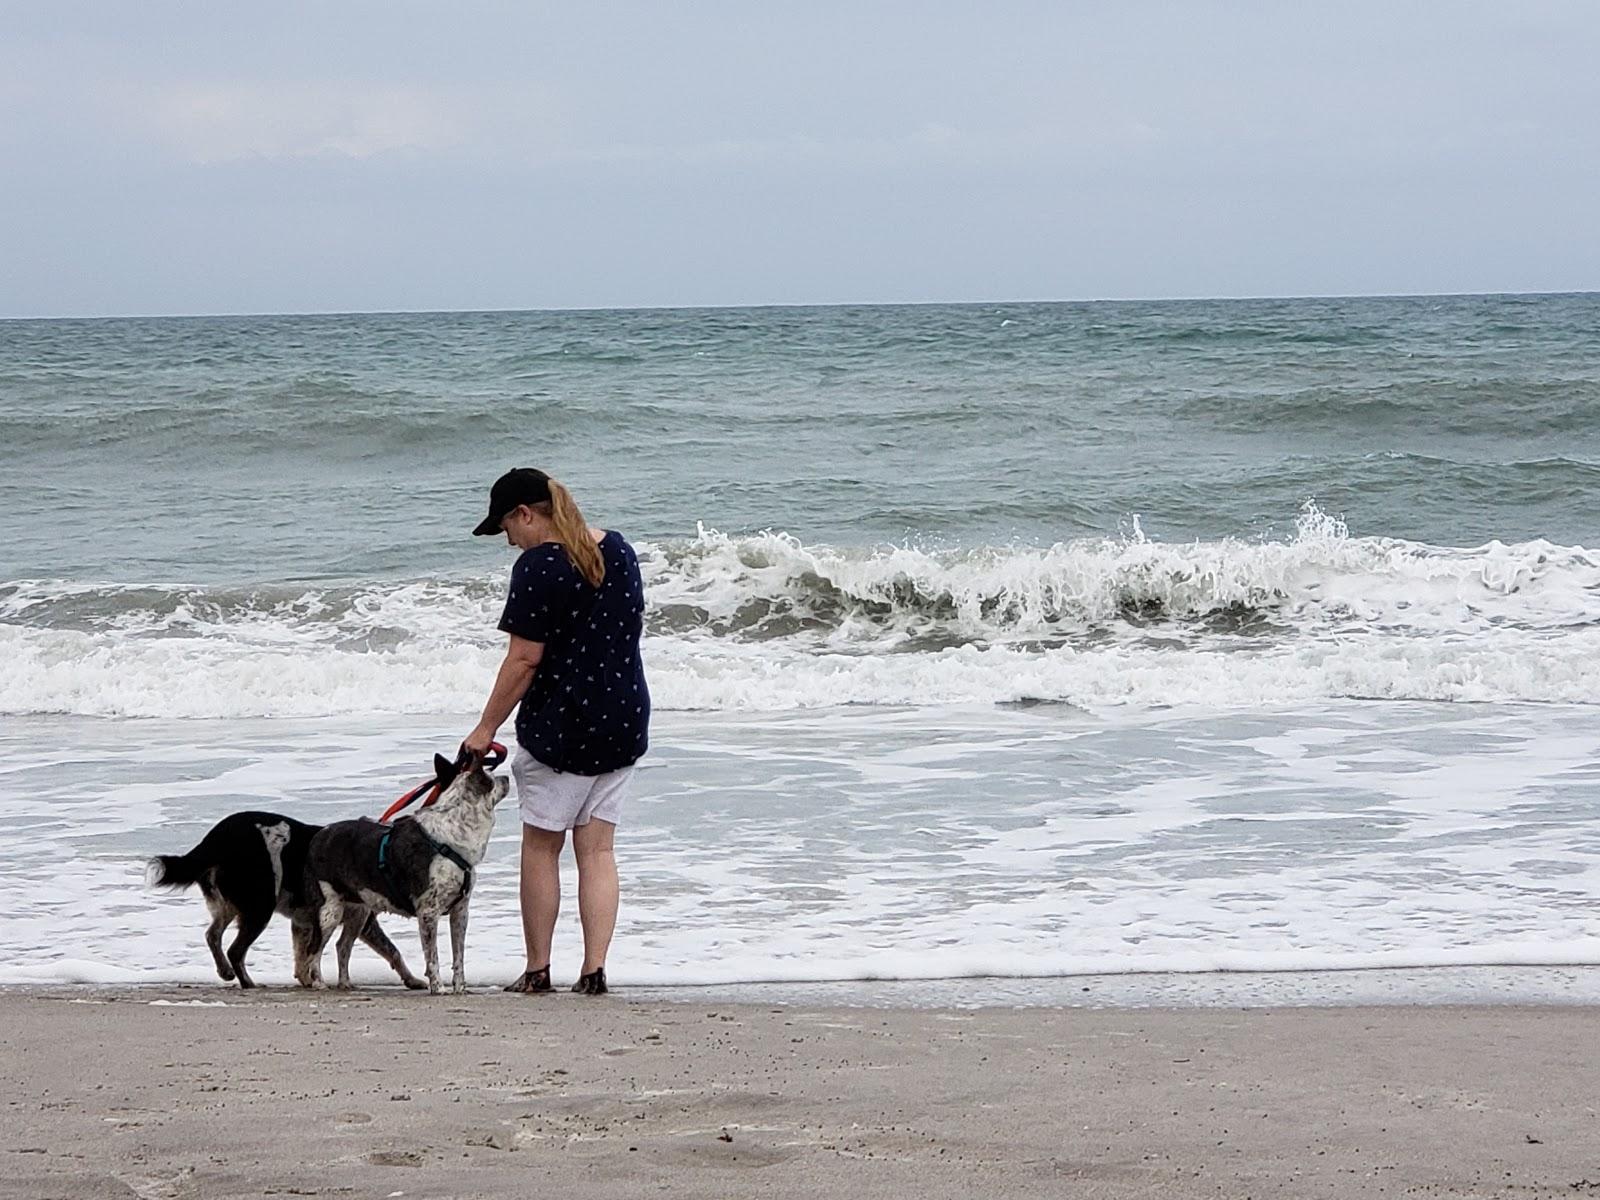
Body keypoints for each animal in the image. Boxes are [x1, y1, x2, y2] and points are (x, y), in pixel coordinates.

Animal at [148, 812, 425, 992]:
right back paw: (248, 983)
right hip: (260, 907)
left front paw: (307, 980)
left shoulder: (305, 923)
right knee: (235, 949)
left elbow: (304, 956)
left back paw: (226, 972)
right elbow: (392, 950)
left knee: (212, 935)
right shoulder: (362, 919)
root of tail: (214, 839)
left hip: (227, 905)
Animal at [294, 752, 505, 998]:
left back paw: (345, 983)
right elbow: (432, 957)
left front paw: (460, 988)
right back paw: (318, 982)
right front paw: (438, 987)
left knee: (342, 946)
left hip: (359, 910)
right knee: (315, 947)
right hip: (329, 910)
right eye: (490, 779)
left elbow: (458, 957)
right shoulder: (428, 912)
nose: (507, 778)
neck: (452, 835)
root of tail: (317, 836)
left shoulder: (460, 911)